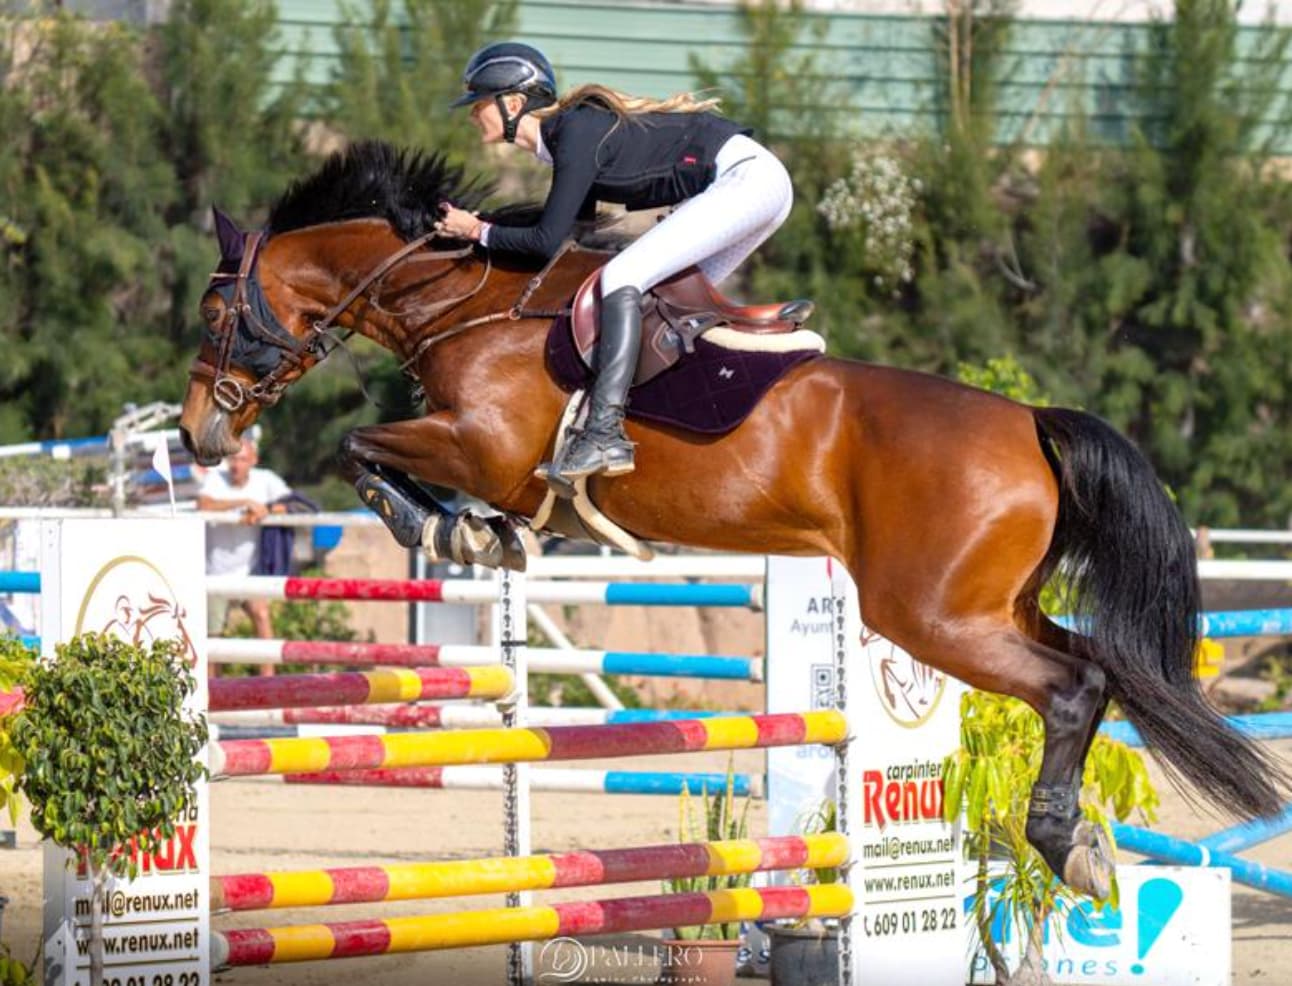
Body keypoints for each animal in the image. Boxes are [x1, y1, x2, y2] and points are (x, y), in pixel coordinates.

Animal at [179, 141, 1288, 900]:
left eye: (216, 313)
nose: (197, 434)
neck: (464, 301)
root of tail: (1028, 421)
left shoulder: (477, 445)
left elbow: (359, 445)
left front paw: (457, 530)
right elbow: (380, 455)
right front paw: (483, 535)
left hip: (930, 614)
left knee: (1070, 688)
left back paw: (1063, 841)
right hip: (985, 604)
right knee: (1097, 667)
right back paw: (1077, 841)